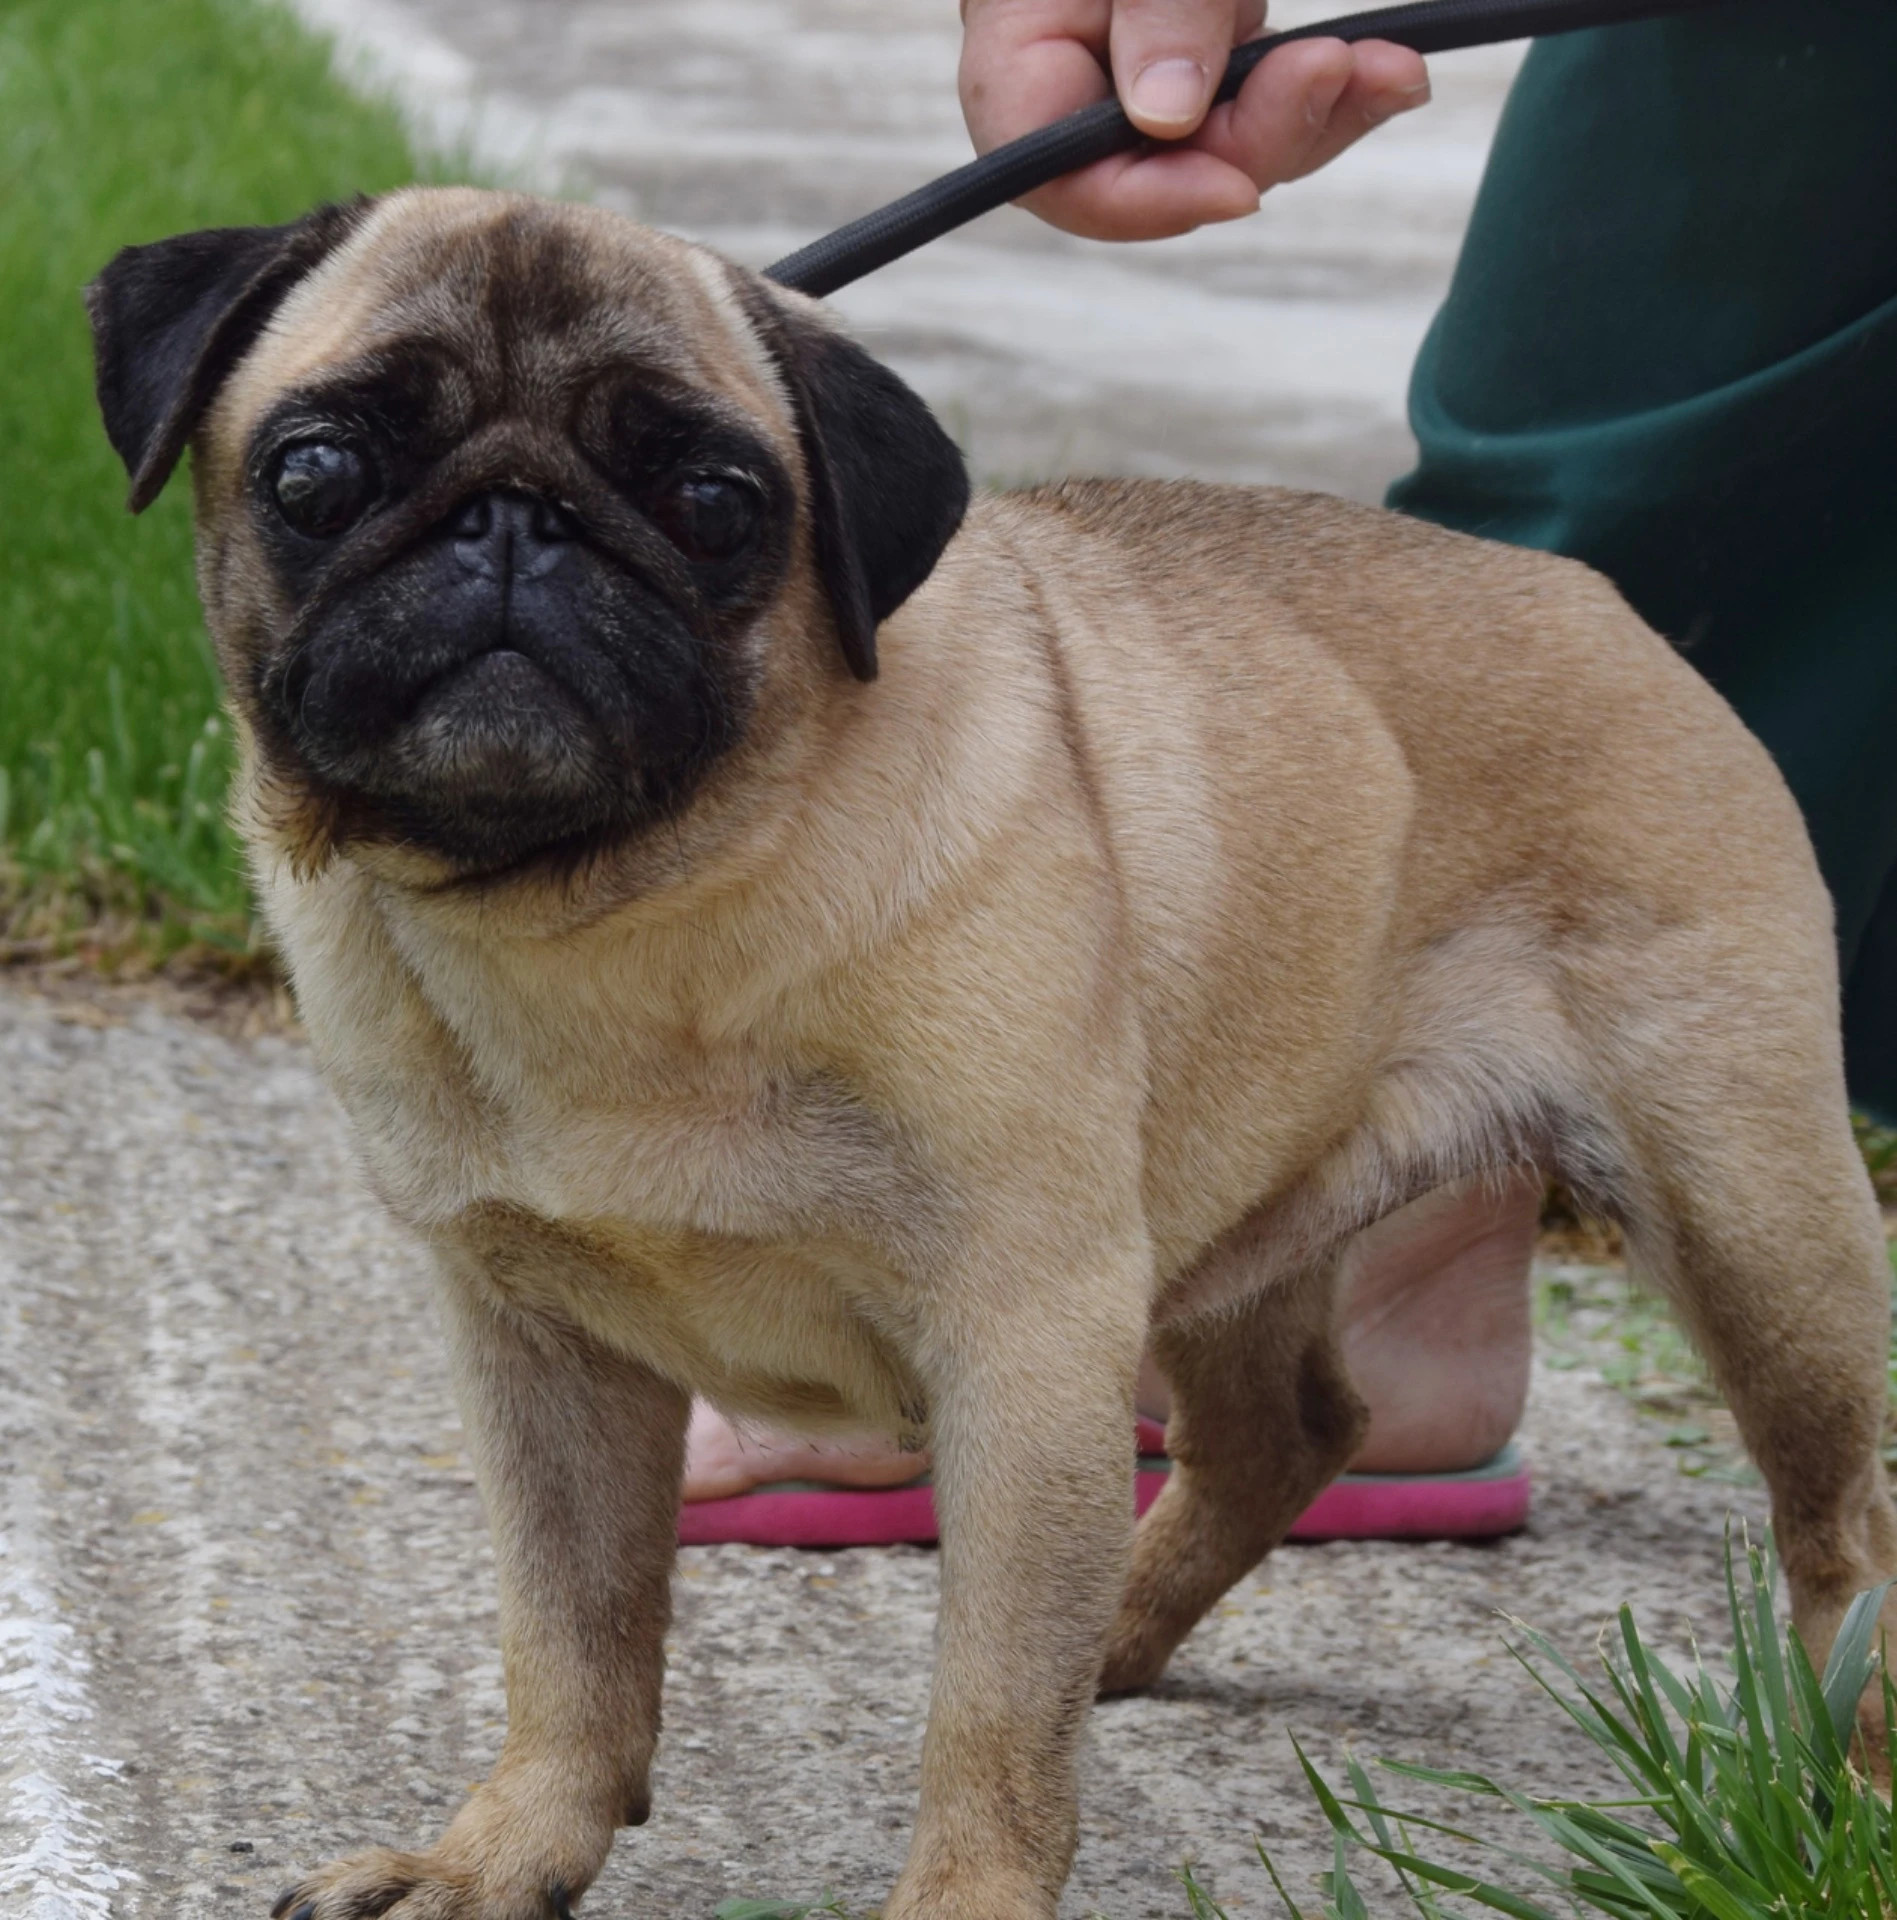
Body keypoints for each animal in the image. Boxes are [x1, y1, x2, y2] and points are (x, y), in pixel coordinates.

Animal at [88, 187, 1897, 1920]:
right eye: (317, 472)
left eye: (715, 502)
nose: (512, 523)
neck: (608, 911)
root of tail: (1608, 610)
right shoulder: (544, 1357)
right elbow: (572, 1644)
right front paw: (496, 1861)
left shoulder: (1023, 1345)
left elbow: (986, 1712)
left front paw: (965, 1887)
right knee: (1286, 1435)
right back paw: (1124, 1631)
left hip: (1746, 1214)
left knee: (1839, 1519)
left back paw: (1857, 1779)